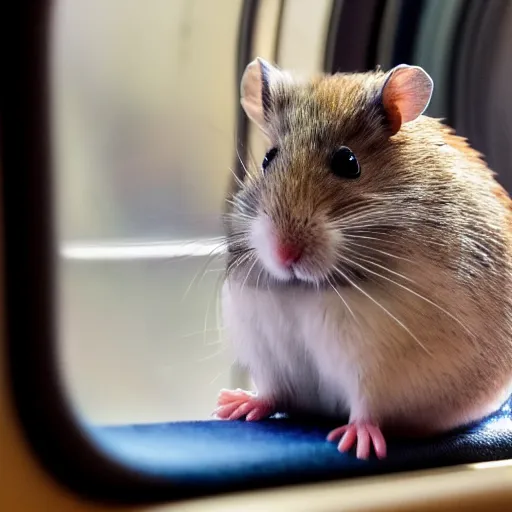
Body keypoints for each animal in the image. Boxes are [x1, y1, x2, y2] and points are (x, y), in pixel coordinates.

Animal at [214, 57, 512, 460]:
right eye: (267, 158)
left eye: (348, 162)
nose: (284, 253)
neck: (305, 287)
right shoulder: (267, 355)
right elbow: (272, 393)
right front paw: (232, 405)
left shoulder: (377, 362)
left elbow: (366, 407)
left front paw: (356, 443)